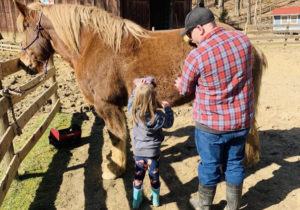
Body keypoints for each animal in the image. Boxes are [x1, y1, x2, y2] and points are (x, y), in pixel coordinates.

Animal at [14, 0, 268, 180]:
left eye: (26, 26)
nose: (25, 65)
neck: (93, 45)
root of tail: (250, 44)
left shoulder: (107, 106)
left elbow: (116, 136)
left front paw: (114, 169)